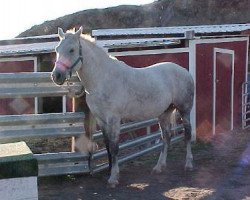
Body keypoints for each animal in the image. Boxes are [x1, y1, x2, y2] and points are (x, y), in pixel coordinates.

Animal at [51, 26, 195, 188]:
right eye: (57, 49)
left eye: (72, 50)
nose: (56, 75)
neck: (103, 79)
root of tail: (184, 72)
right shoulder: (101, 120)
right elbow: (108, 146)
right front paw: (110, 172)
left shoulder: (114, 119)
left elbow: (115, 147)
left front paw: (114, 178)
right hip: (164, 113)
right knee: (166, 137)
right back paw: (159, 167)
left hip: (184, 110)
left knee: (187, 134)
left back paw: (188, 164)